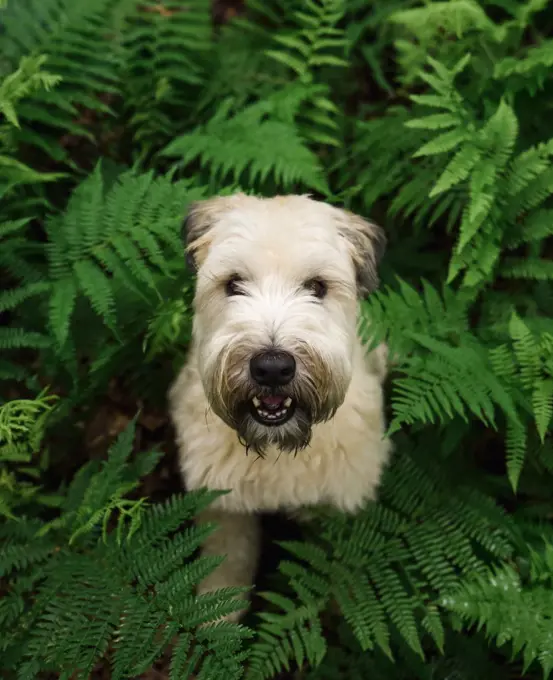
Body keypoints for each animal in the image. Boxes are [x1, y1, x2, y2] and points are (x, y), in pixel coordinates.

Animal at [168, 193, 392, 620]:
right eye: (233, 283)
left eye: (317, 286)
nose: (272, 367)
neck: (277, 449)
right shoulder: (226, 506)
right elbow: (225, 575)